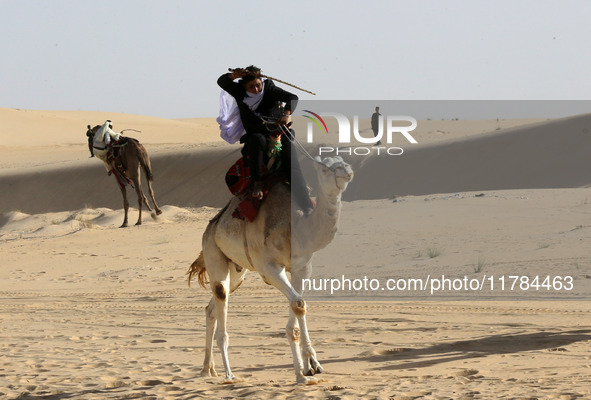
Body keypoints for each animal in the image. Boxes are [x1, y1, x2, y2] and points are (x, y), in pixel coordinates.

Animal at [188, 155, 352, 382]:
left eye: (342, 160)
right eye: (325, 167)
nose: (347, 170)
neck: (295, 228)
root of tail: (211, 226)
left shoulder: (302, 267)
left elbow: (297, 306)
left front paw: (311, 366)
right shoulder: (269, 268)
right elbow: (298, 303)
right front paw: (301, 374)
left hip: (237, 271)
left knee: (211, 308)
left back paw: (207, 369)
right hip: (213, 251)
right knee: (220, 295)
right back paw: (229, 373)